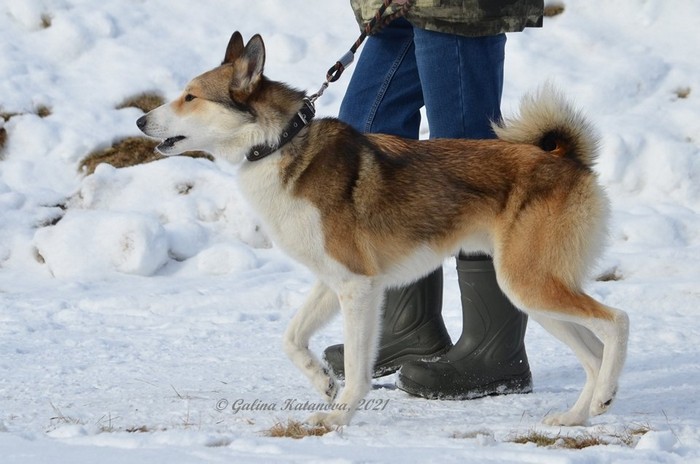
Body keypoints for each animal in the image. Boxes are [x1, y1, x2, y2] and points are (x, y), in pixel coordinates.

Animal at [137, 31, 629, 427]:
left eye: (190, 97)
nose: (140, 120)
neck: (279, 144)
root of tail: (566, 158)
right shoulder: (335, 281)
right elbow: (292, 339)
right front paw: (323, 383)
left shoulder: (358, 287)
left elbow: (358, 369)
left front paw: (339, 417)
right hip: (530, 291)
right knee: (593, 353)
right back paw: (578, 415)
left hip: (528, 282)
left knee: (616, 323)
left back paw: (604, 397)